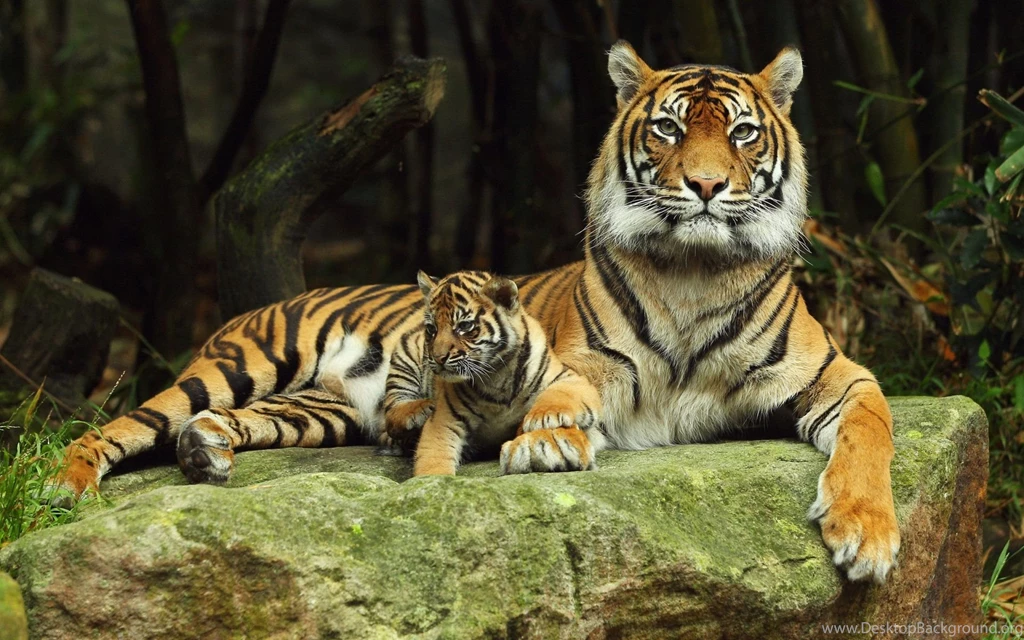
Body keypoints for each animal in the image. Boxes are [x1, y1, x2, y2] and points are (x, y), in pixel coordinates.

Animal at [409, 270, 600, 476]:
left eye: (464, 326)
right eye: (431, 329)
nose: (438, 358)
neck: (496, 375)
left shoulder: (571, 378)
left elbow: (559, 394)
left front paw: (542, 418)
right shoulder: (444, 420)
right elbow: (434, 457)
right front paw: (433, 479)